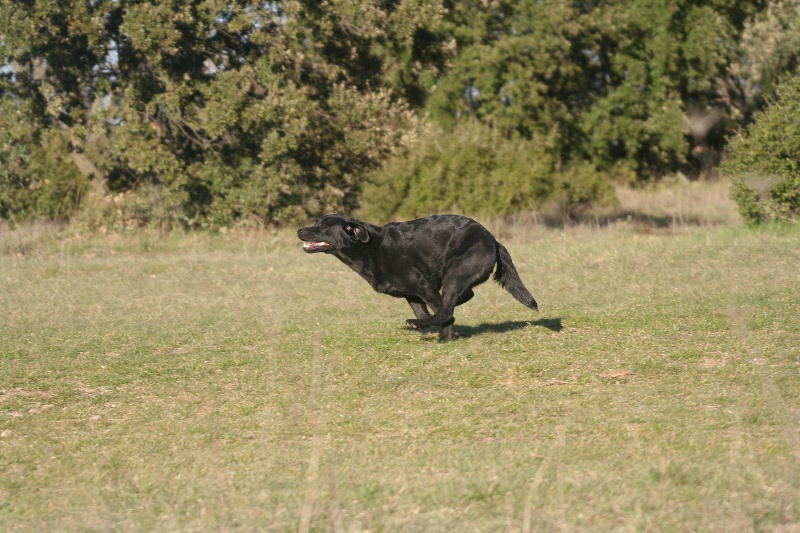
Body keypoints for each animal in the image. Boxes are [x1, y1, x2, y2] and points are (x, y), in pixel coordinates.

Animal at [298, 215, 536, 342]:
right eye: (316, 222)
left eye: (323, 226)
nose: (299, 230)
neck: (370, 248)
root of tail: (493, 240)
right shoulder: (411, 294)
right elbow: (425, 312)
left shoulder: (424, 286)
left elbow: (444, 315)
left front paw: (446, 338)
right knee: (463, 297)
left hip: (455, 274)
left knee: (446, 309)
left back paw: (421, 326)